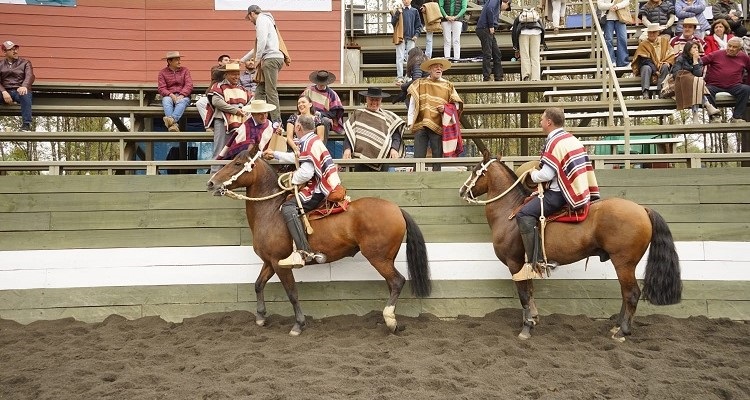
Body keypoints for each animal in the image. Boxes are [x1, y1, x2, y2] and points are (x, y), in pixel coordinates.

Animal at [206, 148, 432, 336]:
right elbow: (258, 284)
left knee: (397, 281)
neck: (271, 211)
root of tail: (397, 209)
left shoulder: (280, 263)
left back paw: (391, 321)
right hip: (386, 259)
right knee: (392, 284)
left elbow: (292, 293)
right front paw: (261, 317)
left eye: (237, 163)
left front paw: (298, 325)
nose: (211, 183)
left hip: (378, 258)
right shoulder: (270, 262)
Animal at [462, 152, 684, 340]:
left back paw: (623, 332)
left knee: (631, 294)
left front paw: (526, 328)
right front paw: (534, 319)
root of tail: (642, 209)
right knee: (625, 293)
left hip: (624, 263)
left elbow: (524, 295)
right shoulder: (527, 263)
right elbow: (530, 292)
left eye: (475, 170)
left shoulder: (514, 263)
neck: (510, 211)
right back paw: (616, 327)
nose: (462, 190)